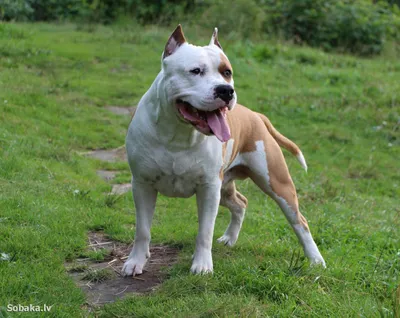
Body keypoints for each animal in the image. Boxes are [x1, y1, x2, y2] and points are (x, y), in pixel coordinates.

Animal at [122, 25, 324, 276]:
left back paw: (316, 260)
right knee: (241, 203)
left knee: (300, 222)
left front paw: (202, 266)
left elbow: (205, 231)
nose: (226, 91)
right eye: (195, 71)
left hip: (276, 184)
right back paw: (230, 238)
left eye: (227, 72)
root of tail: (255, 115)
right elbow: (142, 229)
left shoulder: (208, 188)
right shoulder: (142, 184)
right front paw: (136, 261)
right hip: (225, 188)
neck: (179, 134)